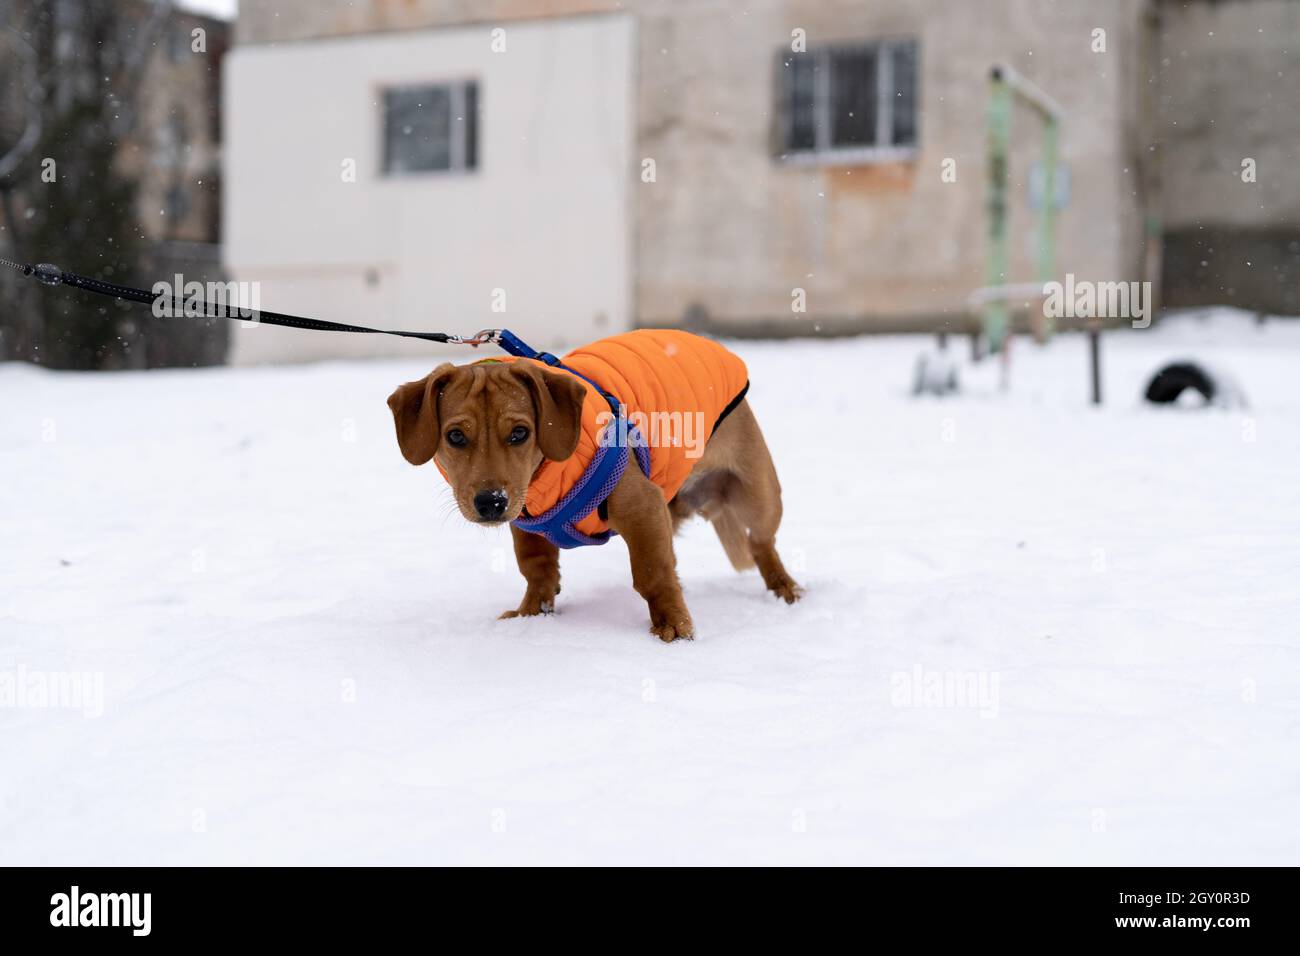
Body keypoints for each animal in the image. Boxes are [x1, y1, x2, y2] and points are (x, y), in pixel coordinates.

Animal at [384, 348, 795, 639]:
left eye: (519, 433)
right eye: (455, 436)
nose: (492, 503)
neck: (543, 480)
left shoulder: (643, 507)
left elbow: (653, 573)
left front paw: (674, 626)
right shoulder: (526, 525)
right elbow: (536, 570)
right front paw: (531, 614)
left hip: (760, 497)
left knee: (762, 545)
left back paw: (785, 591)